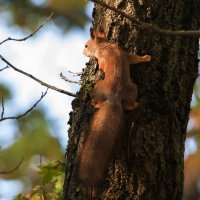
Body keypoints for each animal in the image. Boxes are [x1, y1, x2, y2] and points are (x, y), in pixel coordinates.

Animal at [79, 27, 151, 195]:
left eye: (86, 46)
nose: (82, 52)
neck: (105, 45)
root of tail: (114, 97)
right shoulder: (125, 54)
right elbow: (134, 58)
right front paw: (146, 57)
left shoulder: (103, 56)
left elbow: (102, 63)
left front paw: (98, 65)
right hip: (133, 89)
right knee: (130, 104)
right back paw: (136, 104)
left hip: (98, 86)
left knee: (99, 99)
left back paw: (95, 102)